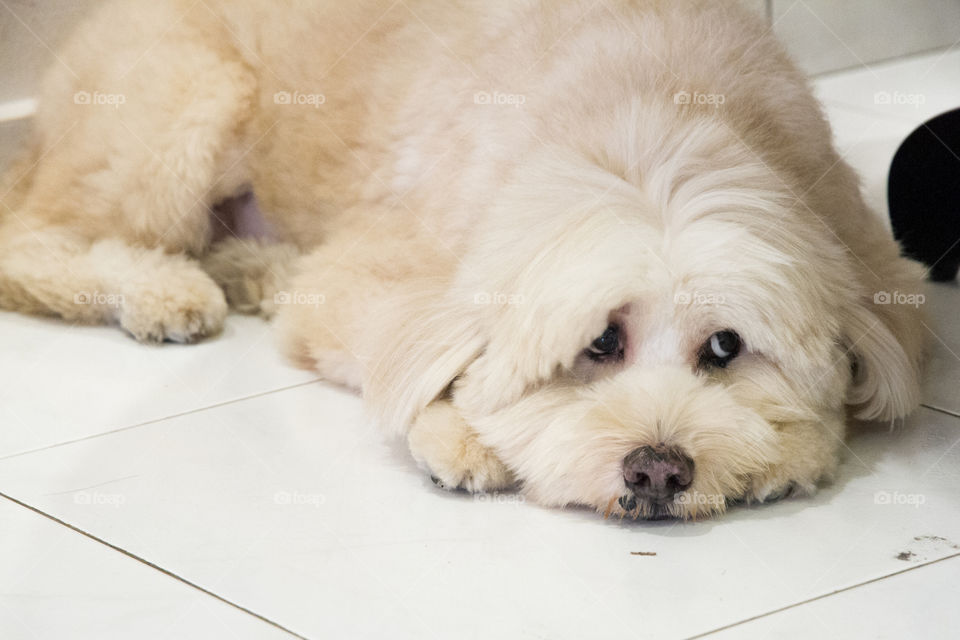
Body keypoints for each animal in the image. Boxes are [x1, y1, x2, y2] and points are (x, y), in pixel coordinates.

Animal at [1, 0, 928, 520]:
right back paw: (160, 288)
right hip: (182, 110)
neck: (652, 113)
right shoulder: (380, 275)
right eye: (601, 343)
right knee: (33, 240)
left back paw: (251, 270)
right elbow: (396, 354)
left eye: (727, 347)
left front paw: (790, 453)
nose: (660, 469)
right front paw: (460, 433)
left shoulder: (875, 260)